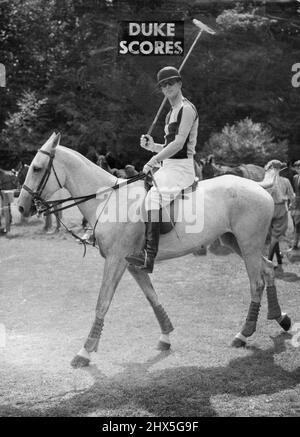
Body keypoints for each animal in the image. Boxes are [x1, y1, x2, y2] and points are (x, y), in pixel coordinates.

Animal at [17, 134, 292, 368]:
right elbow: (152, 297)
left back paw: (244, 334)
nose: (21, 207)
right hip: (234, 241)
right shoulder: (132, 263)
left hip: (248, 243)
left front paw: (84, 351)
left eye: (37, 168)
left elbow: (102, 303)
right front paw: (166, 337)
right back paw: (281, 318)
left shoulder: (116, 260)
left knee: (256, 282)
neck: (107, 201)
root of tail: (259, 186)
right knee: (268, 269)